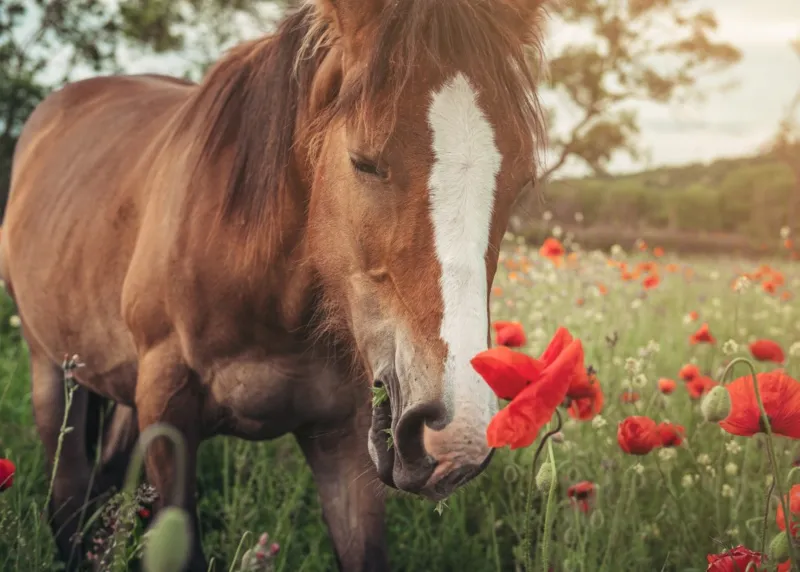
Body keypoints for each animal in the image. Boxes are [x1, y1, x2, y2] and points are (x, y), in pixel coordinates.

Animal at [0, 0, 547, 569]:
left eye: (521, 179)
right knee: (68, 500)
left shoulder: (345, 438)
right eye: (363, 162)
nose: (456, 435)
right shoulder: (168, 410)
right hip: (52, 370)